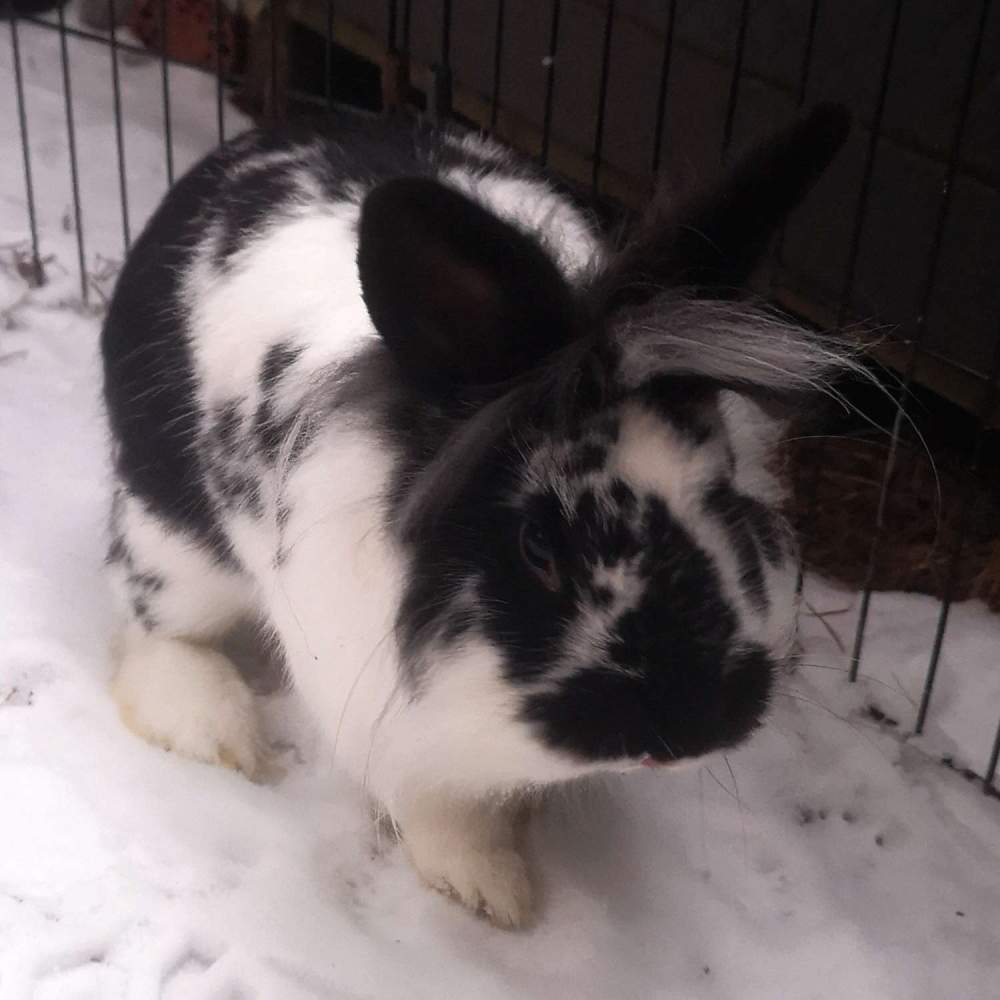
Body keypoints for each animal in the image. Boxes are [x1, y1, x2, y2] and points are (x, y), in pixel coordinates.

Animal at [102, 104, 851, 927]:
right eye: (537, 546)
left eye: (723, 494)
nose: (691, 725)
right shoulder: (388, 708)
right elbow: (438, 801)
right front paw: (491, 890)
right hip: (173, 539)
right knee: (150, 626)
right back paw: (217, 731)